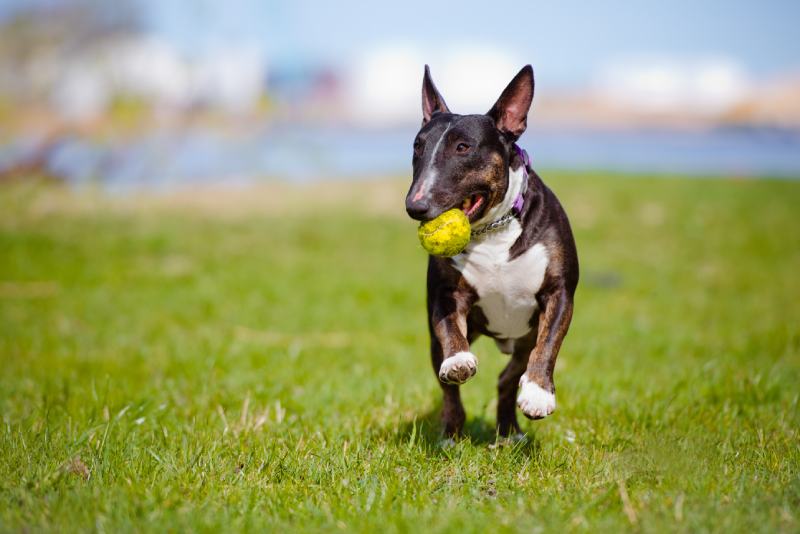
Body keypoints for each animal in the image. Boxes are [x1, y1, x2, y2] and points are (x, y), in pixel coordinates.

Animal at [404, 65, 580, 440]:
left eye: (463, 147)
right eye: (417, 147)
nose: (415, 206)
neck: (493, 233)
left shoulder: (558, 292)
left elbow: (549, 344)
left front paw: (539, 393)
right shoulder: (446, 293)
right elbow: (449, 331)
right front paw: (458, 360)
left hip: (523, 339)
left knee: (508, 377)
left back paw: (509, 429)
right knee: (449, 388)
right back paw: (452, 433)